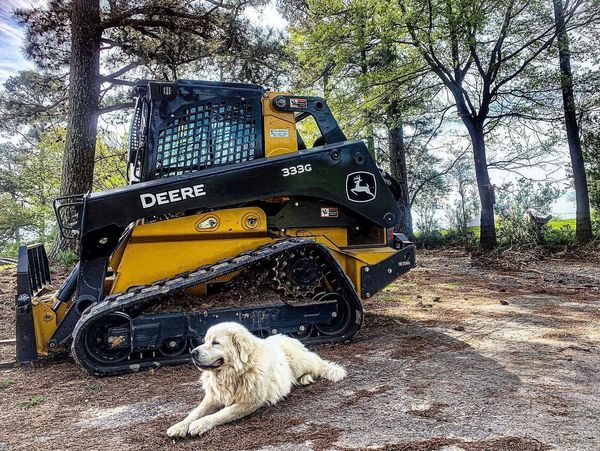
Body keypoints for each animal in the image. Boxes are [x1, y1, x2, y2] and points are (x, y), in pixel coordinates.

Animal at [168, 322, 346, 438]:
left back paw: (309, 376)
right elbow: (194, 412)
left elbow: (222, 413)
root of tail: (286, 336)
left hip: (299, 361)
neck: (233, 373)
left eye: (215, 342)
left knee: (317, 364)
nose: (193, 353)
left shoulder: (248, 402)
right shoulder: (213, 397)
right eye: (204, 341)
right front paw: (179, 426)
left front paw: (200, 424)